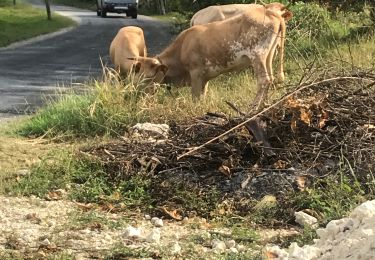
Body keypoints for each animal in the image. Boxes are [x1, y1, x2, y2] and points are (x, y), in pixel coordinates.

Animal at [133, 5, 294, 108]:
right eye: (138, 74)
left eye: (148, 76)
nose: (138, 94)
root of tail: (270, 12)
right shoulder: (205, 78)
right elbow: (202, 96)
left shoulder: (196, 73)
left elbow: (195, 97)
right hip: (269, 54)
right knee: (271, 78)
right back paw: (264, 105)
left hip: (257, 54)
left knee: (264, 80)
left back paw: (254, 108)